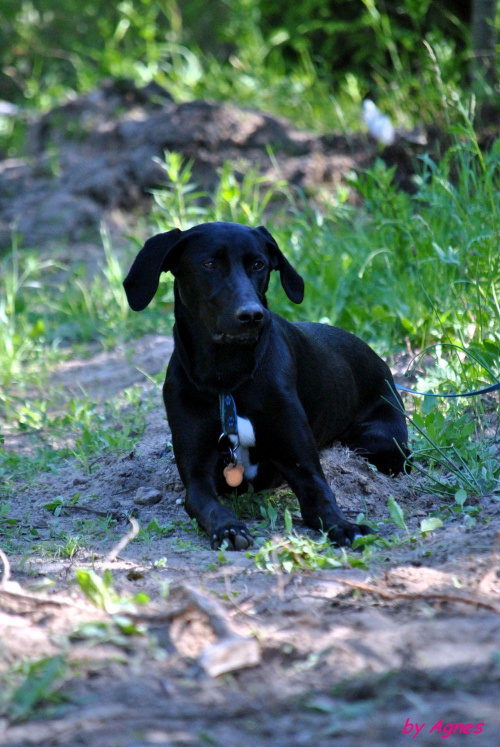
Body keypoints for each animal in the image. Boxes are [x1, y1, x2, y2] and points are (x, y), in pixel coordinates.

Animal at [123, 221, 408, 548]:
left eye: (258, 264)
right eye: (209, 264)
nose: (251, 315)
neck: (228, 378)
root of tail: (382, 362)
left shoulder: (300, 461)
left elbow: (321, 496)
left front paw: (345, 526)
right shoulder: (195, 475)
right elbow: (207, 505)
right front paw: (229, 529)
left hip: (379, 444)